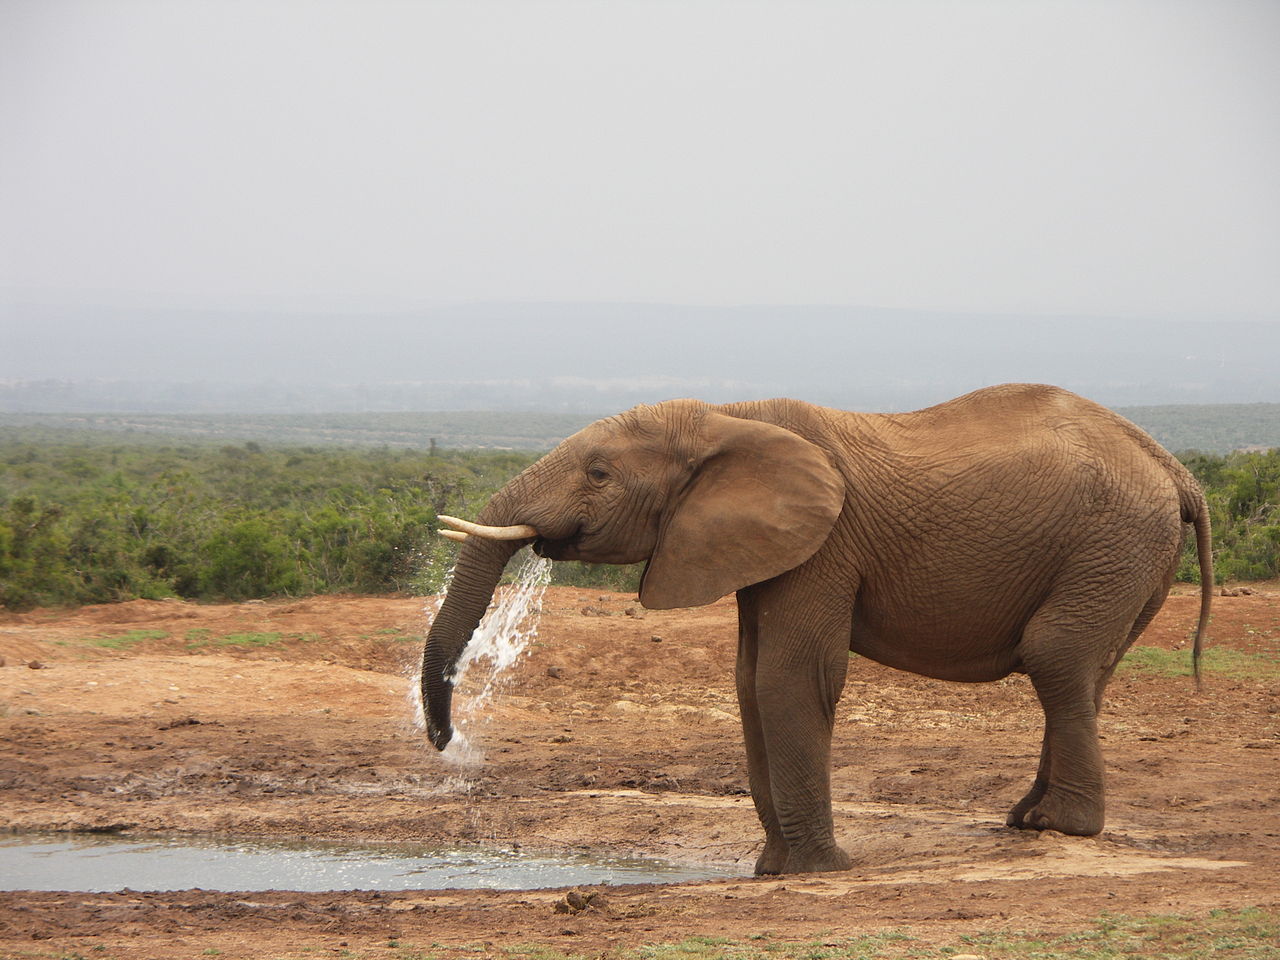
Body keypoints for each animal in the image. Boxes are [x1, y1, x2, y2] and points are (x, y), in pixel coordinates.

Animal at [422, 386, 1208, 880]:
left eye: (598, 472)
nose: (444, 742)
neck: (726, 417)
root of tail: (1175, 468)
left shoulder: (827, 543)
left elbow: (789, 678)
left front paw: (812, 871)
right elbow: (748, 683)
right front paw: (772, 870)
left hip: (1113, 543)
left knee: (1056, 657)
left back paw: (1060, 828)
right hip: (1122, 557)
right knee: (1082, 671)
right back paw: (1026, 820)